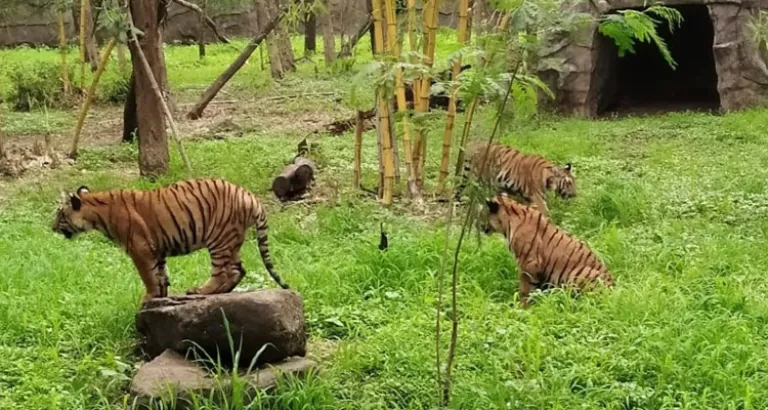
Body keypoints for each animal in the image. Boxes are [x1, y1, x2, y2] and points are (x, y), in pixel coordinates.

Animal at [51, 179, 290, 304]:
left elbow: (148, 276)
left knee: (225, 272)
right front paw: (161, 296)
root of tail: (250, 196)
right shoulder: (157, 249)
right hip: (233, 241)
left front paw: (149, 297)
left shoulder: (140, 249)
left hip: (219, 240)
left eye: (60, 215)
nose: (51, 228)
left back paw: (200, 291)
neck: (96, 212)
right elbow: (160, 275)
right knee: (239, 270)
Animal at [480, 194, 612, 306]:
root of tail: (613, 287)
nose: (480, 227)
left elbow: (525, 289)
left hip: (578, 274)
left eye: (482, 214)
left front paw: (521, 307)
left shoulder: (528, 263)